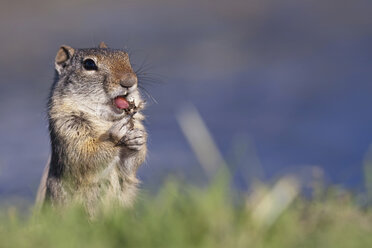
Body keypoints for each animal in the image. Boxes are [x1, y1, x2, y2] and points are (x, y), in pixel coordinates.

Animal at [36, 41, 147, 214]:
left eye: (125, 57)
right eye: (89, 64)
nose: (130, 81)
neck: (106, 119)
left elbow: (129, 167)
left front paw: (138, 139)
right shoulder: (69, 130)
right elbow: (87, 156)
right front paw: (116, 135)